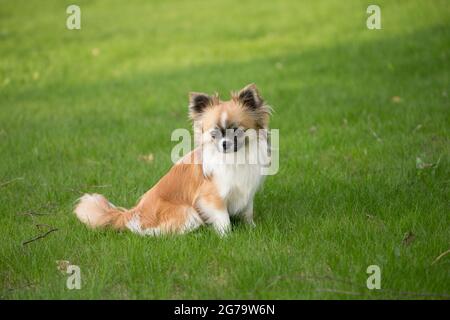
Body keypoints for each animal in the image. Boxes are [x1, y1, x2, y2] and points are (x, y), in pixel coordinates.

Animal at [74, 84, 270, 236]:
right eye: (214, 134)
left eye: (236, 131)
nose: (224, 144)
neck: (236, 158)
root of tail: (131, 214)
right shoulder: (211, 198)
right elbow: (223, 219)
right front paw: (227, 236)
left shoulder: (246, 192)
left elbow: (247, 212)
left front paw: (252, 228)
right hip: (187, 211)